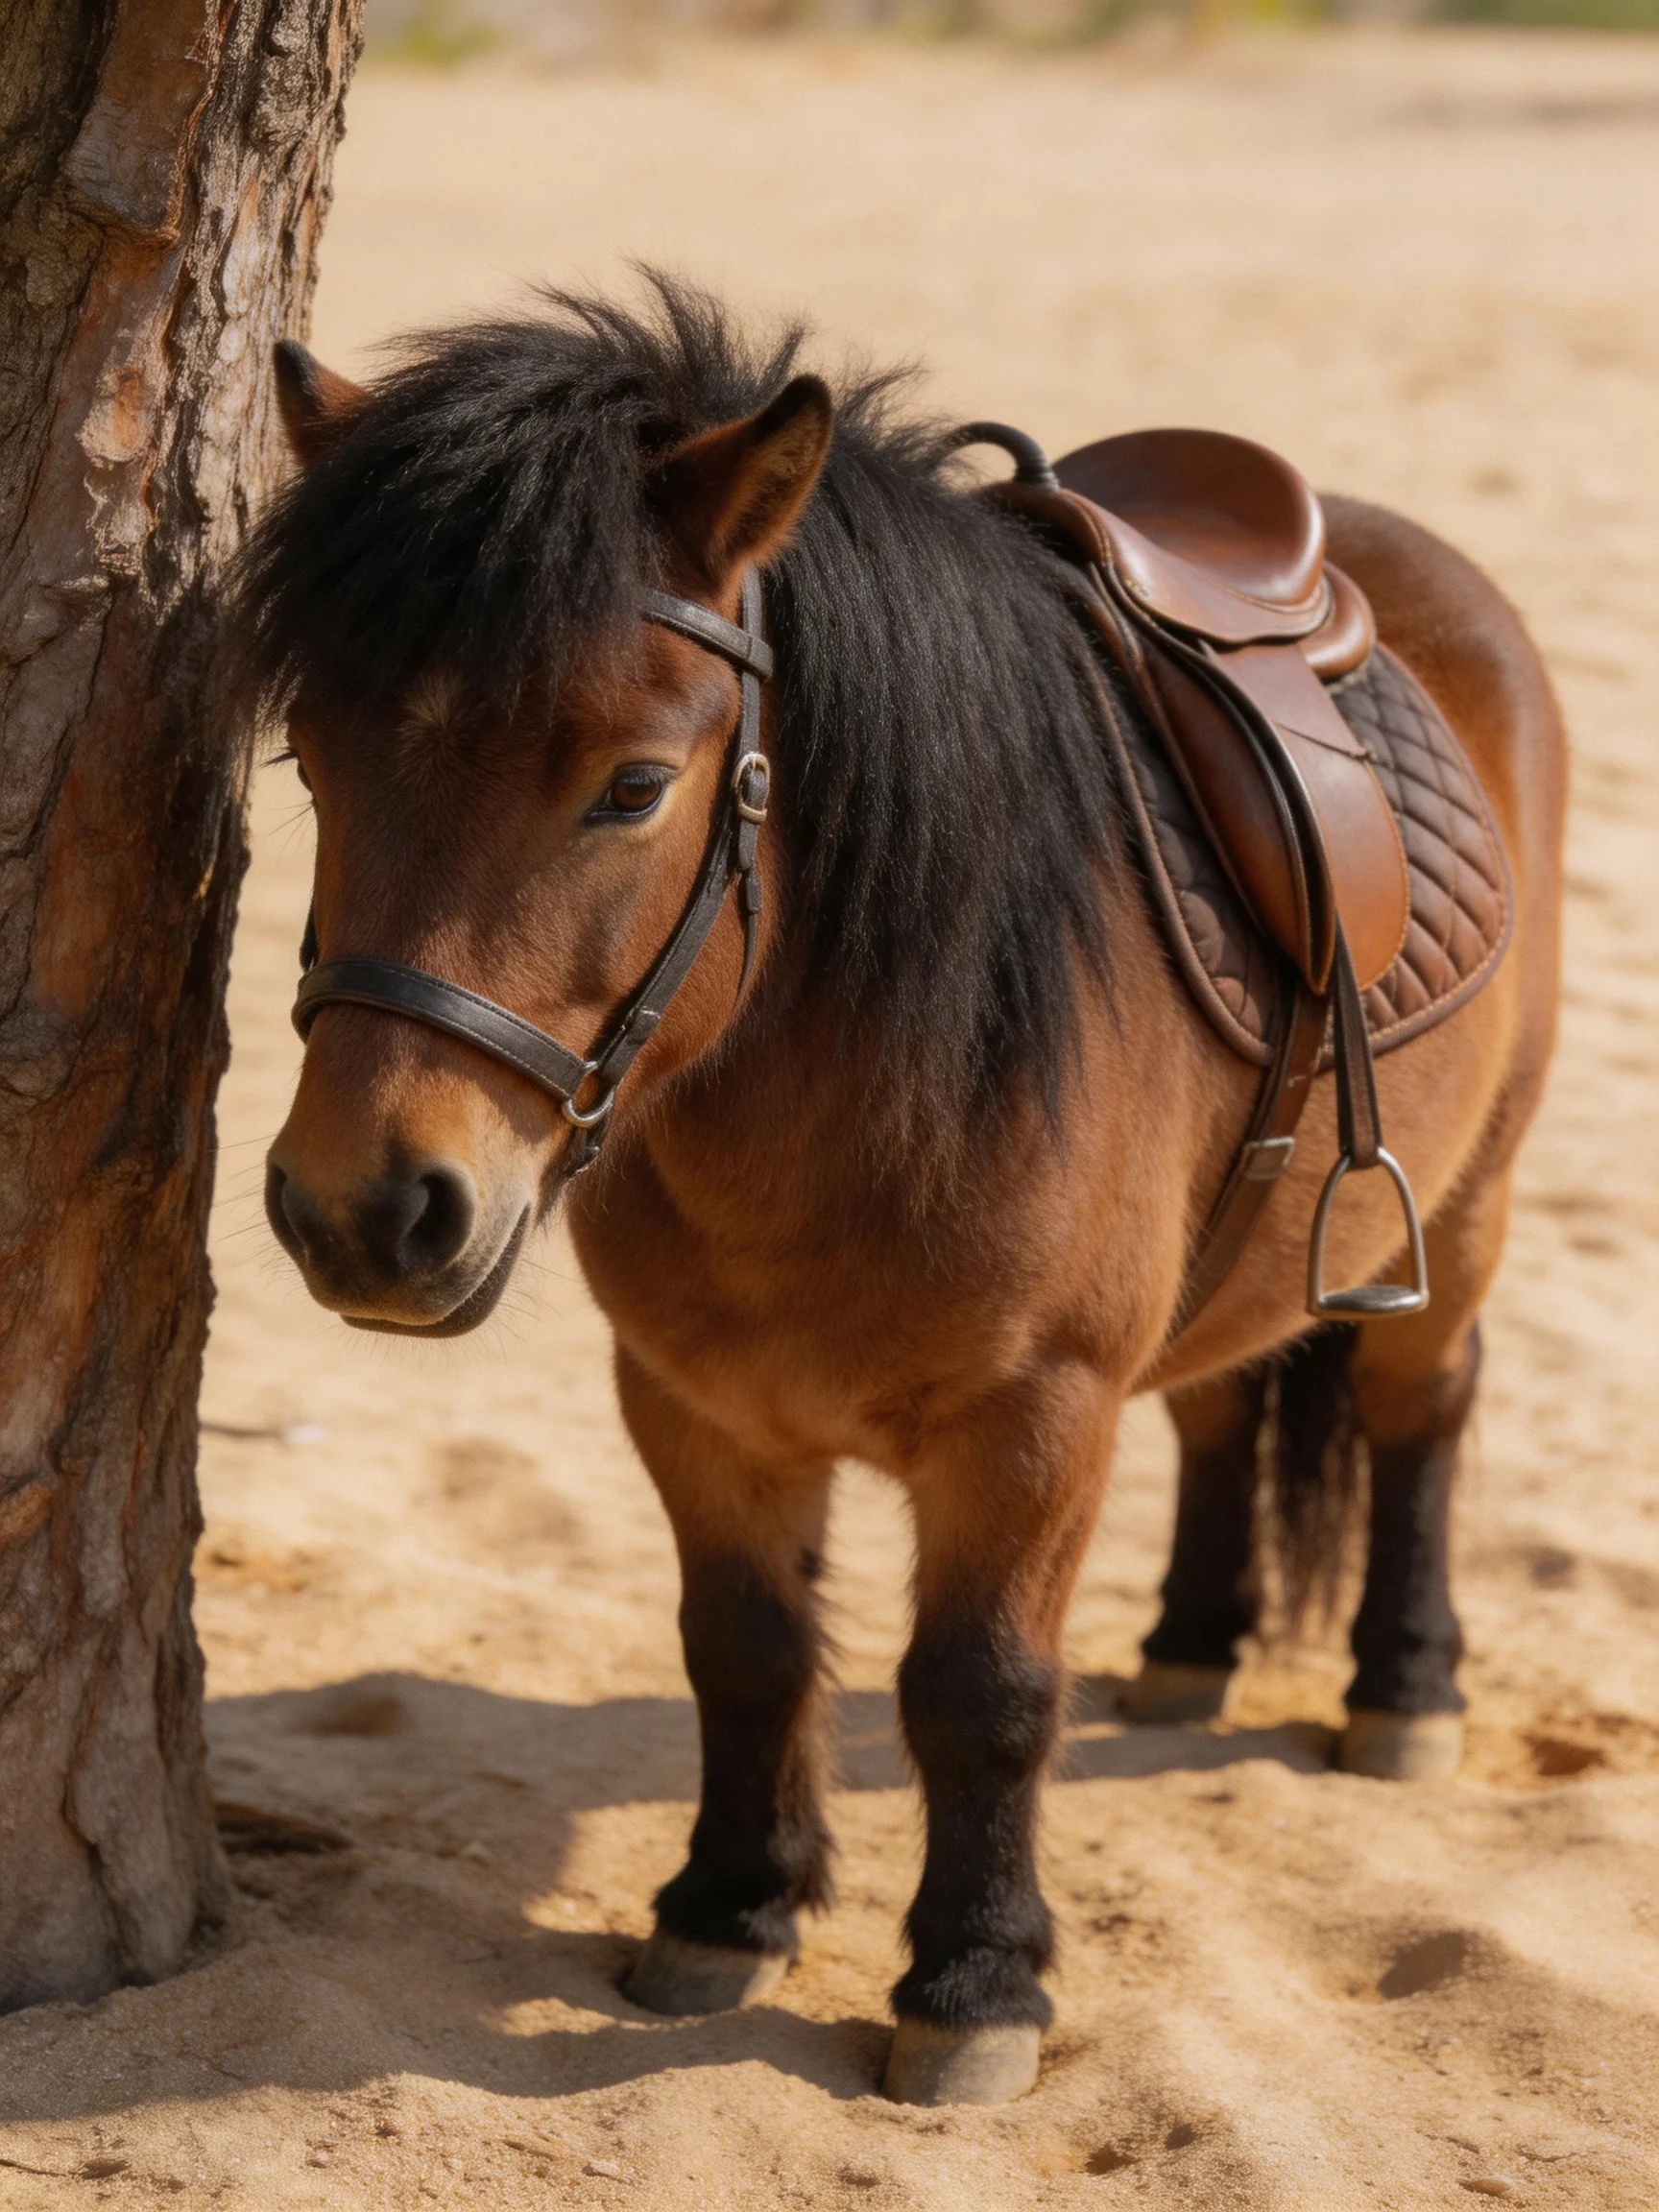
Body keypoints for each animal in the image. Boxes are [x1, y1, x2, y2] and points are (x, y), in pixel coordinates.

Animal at [237, 280, 1565, 2106]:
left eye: (633, 785)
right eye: (313, 756)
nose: (365, 1211)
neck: (847, 1092)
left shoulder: (1033, 1415)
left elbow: (979, 1690)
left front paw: (974, 1978)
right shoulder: (691, 1405)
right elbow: (743, 1646)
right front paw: (726, 1907)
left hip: (1470, 1203)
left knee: (1421, 1410)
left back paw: (1403, 1686)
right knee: (1220, 1409)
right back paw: (1191, 1643)